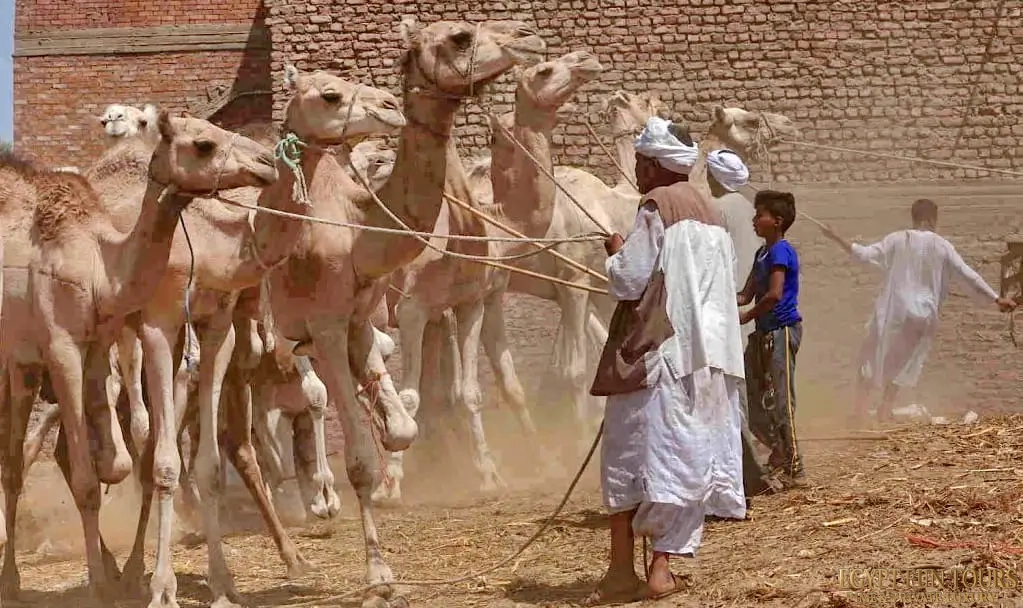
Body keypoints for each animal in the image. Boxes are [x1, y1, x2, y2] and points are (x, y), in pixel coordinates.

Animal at [0, 114, 278, 604]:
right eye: (203, 144)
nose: (266, 162)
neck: (100, 268)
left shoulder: (98, 346)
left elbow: (118, 462)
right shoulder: (62, 348)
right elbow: (89, 481)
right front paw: (100, 586)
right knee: (14, 463)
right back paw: (13, 579)